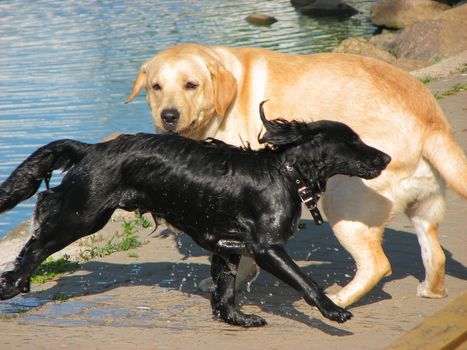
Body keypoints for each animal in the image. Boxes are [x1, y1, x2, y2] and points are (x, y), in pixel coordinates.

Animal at [0, 102, 392, 326]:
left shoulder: (229, 243)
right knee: (35, 246)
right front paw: (332, 310)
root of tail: (91, 148)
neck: (284, 171)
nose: (386, 157)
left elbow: (226, 289)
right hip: (83, 215)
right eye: (353, 142)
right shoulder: (266, 247)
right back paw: (12, 284)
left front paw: (235, 318)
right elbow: (306, 281)